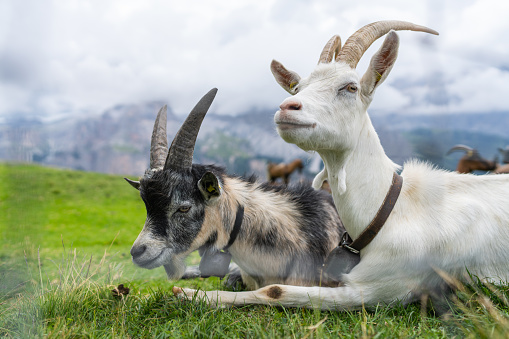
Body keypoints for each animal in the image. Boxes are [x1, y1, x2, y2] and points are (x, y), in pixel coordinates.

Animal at [173, 19, 508, 310]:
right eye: (298, 88)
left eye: (350, 87)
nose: (287, 107)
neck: (392, 209)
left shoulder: (378, 289)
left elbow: (276, 289)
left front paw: (194, 295)